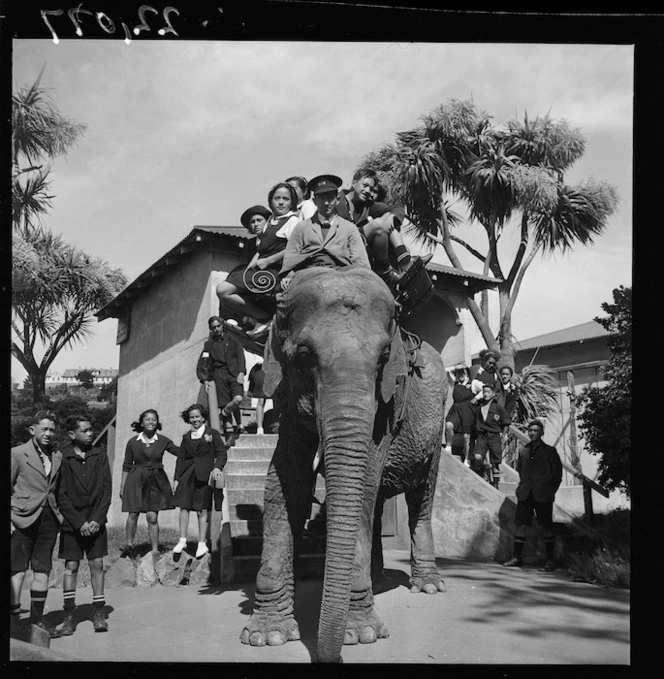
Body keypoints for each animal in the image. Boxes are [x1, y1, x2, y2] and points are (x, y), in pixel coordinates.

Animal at [239, 266, 446, 664]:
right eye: (304, 354)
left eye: (384, 356)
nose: (327, 658)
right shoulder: (288, 397)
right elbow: (285, 482)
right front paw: (267, 636)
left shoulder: (388, 403)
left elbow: (363, 480)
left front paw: (361, 634)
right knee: (378, 505)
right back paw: (379, 581)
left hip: (439, 422)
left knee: (421, 496)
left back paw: (428, 586)